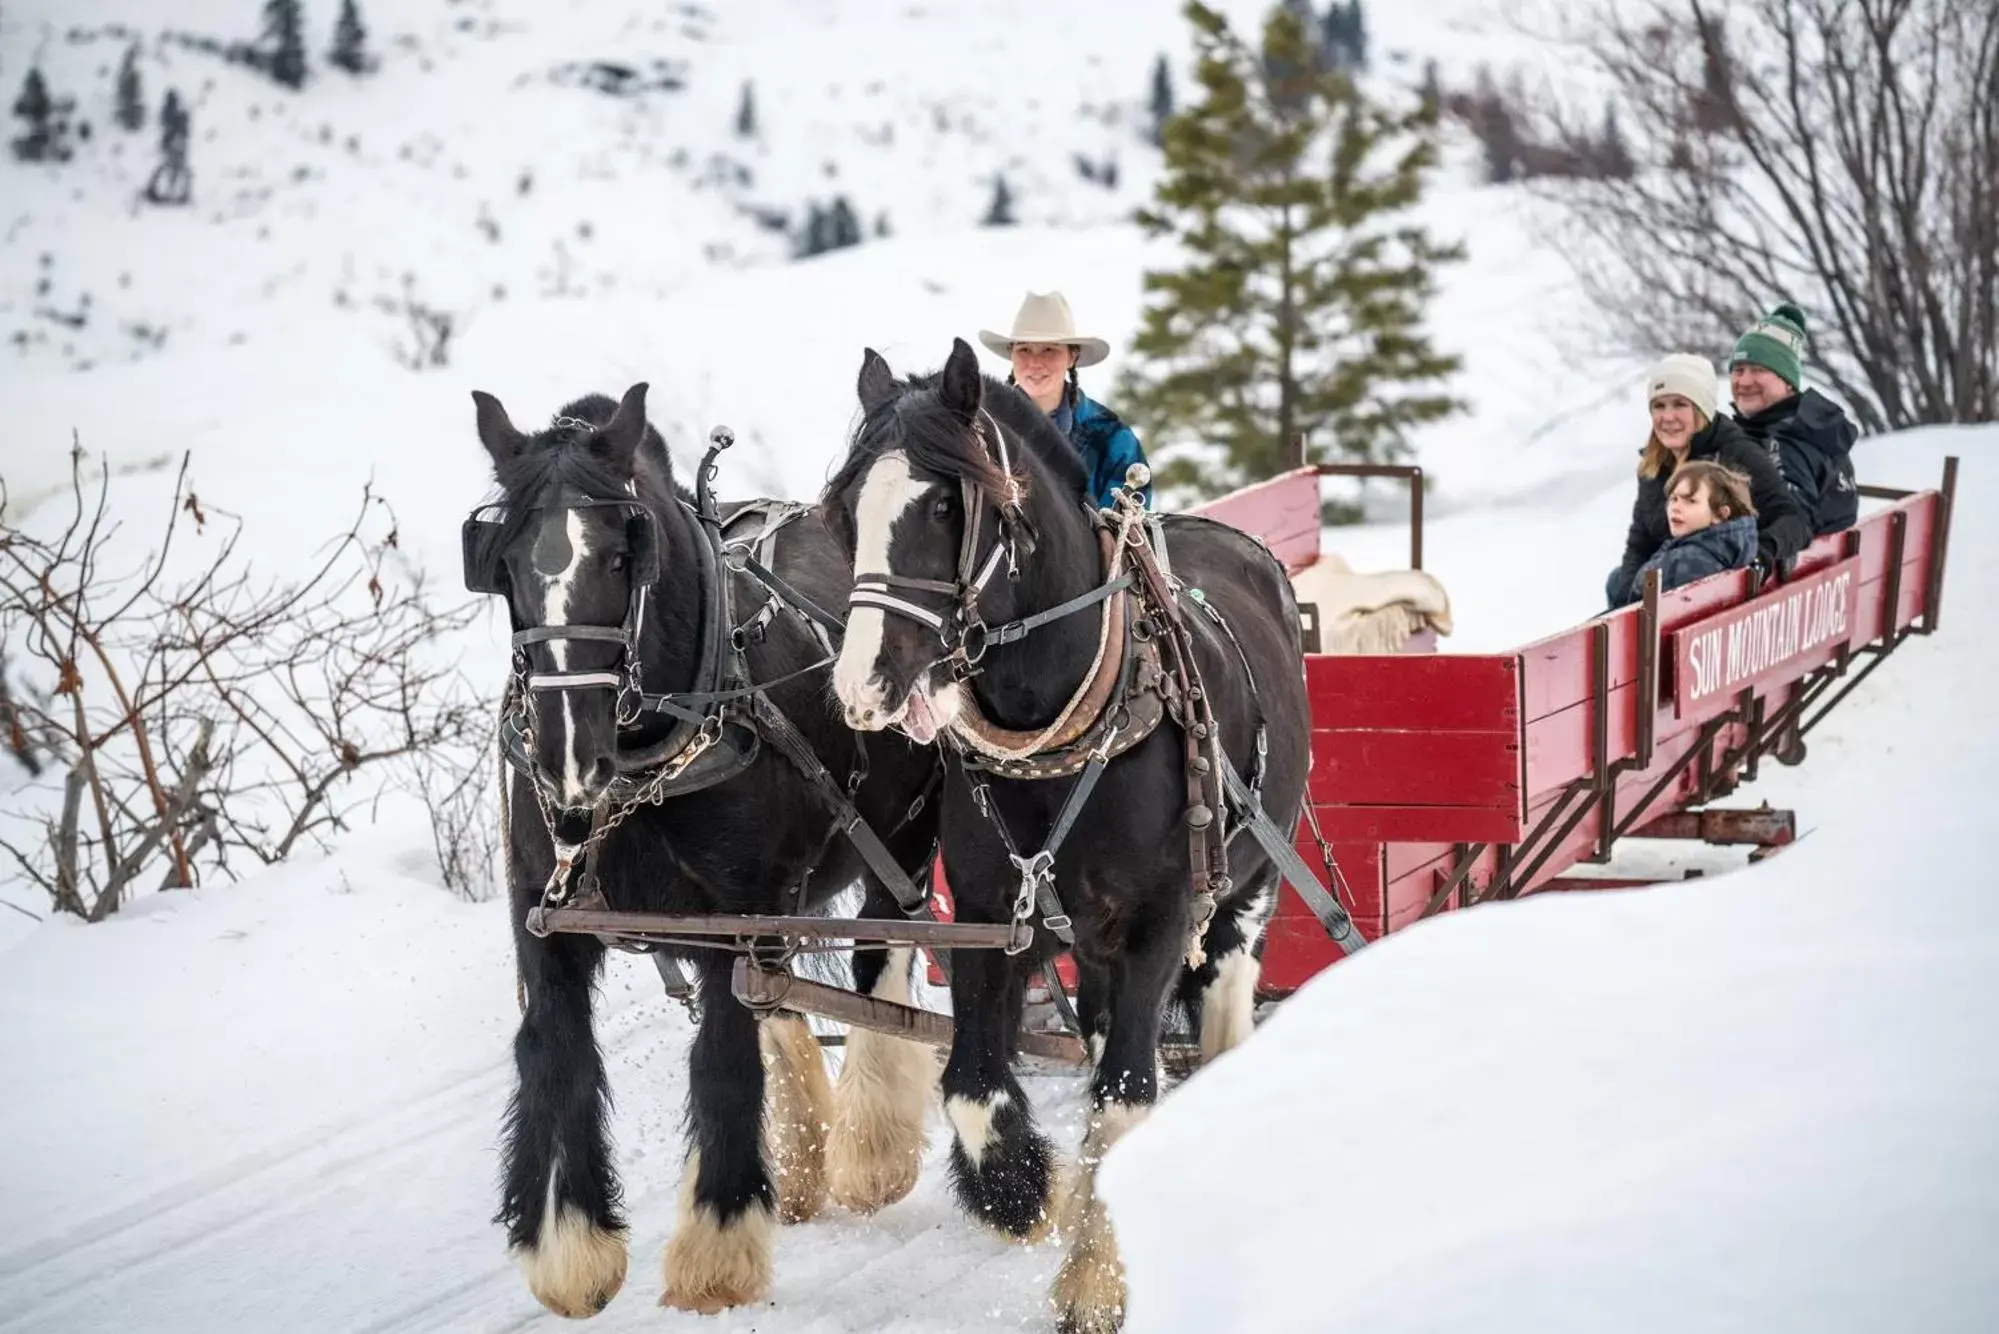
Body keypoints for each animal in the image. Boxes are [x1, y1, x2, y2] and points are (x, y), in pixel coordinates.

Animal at [467, 392, 943, 1320]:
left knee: (883, 959)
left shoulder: (738, 919)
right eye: (501, 567)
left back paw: (870, 1148)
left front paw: (716, 1245)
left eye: (624, 556)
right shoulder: (545, 917)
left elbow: (721, 1057)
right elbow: (555, 1051)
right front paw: (568, 1246)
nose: (569, 760)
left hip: (901, 839)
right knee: (785, 1002)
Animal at [819, 344, 1319, 1334]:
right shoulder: (988, 915)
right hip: (1089, 938)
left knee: (1217, 1005)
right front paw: (1023, 1192)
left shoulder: (1165, 919)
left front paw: (1093, 1281)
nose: (863, 687)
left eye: (944, 505)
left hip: (1245, 888)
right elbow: (974, 1085)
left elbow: (1126, 1091)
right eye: (849, 508)